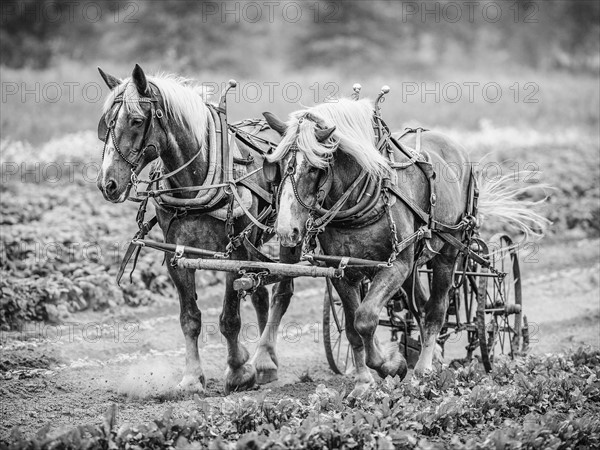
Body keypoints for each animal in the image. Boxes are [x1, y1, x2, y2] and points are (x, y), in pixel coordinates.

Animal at [96, 63, 300, 394]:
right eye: (106, 124)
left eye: (136, 120)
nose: (107, 184)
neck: (198, 182)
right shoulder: (176, 255)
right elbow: (189, 318)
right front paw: (192, 378)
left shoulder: (233, 255)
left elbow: (229, 319)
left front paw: (238, 371)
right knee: (260, 292)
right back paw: (263, 359)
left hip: (289, 234)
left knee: (283, 290)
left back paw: (265, 359)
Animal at [264, 96, 548, 396]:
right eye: (277, 166)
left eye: (314, 167)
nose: (286, 231)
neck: (365, 195)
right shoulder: (341, 271)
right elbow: (353, 328)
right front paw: (364, 382)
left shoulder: (396, 265)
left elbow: (365, 318)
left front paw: (392, 365)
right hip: (414, 263)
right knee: (420, 307)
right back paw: (434, 357)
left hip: (448, 251)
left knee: (437, 309)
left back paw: (425, 369)